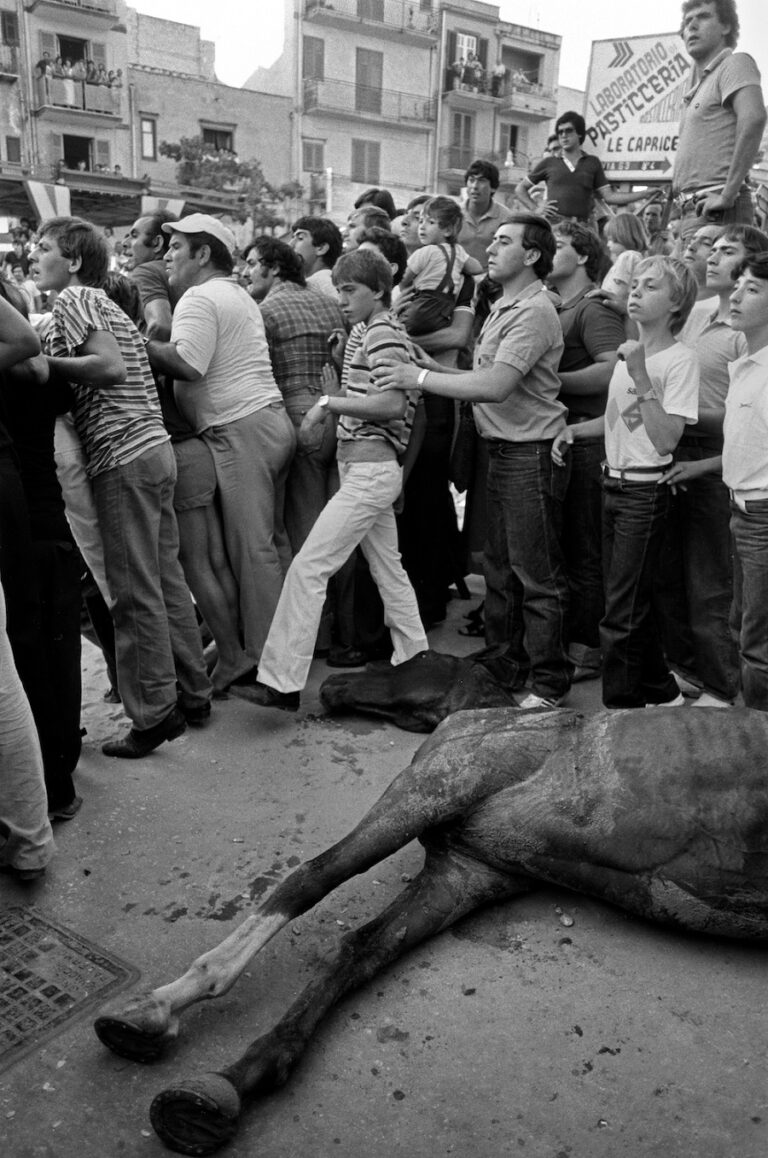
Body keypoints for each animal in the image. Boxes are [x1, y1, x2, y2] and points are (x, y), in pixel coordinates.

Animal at [94, 699, 768, 1153]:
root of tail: (474, 714)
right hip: (437, 786)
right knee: (309, 880)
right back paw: (161, 1008)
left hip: (469, 870)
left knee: (358, 947)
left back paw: (229, 1082)